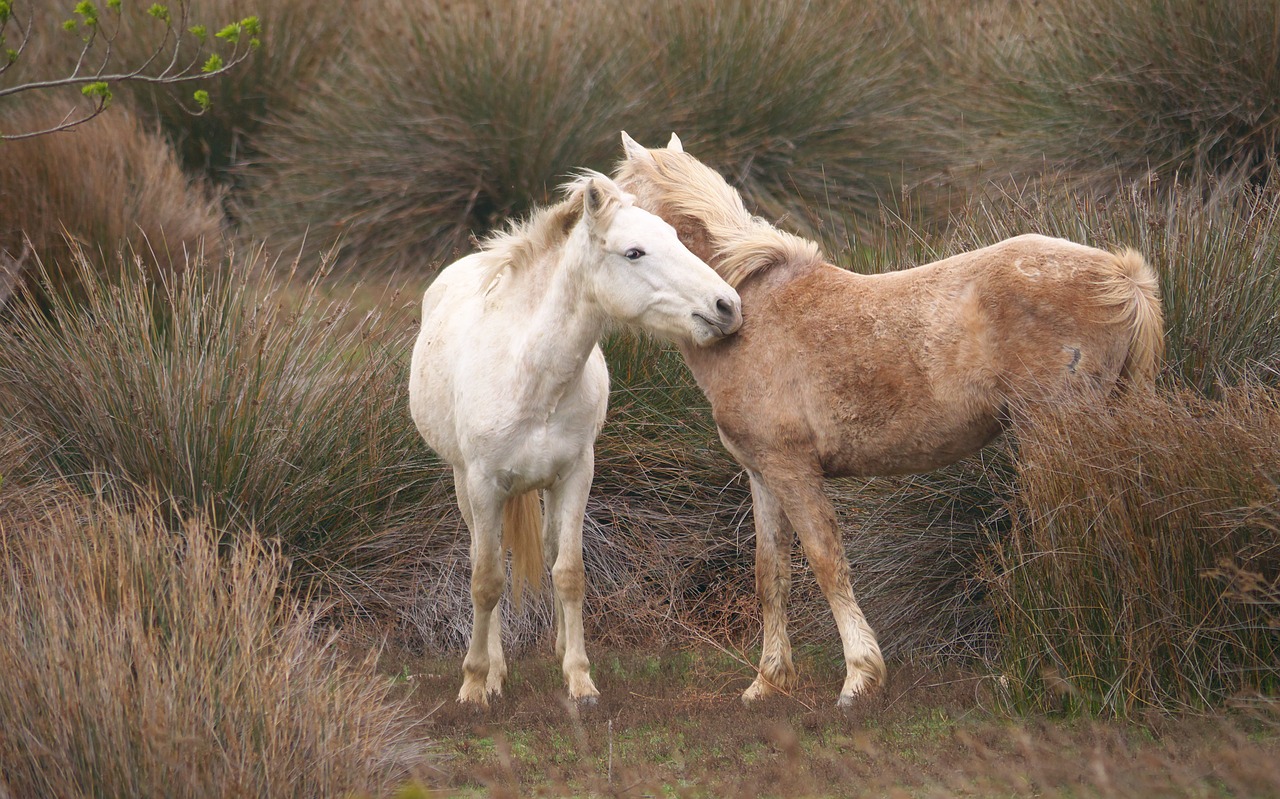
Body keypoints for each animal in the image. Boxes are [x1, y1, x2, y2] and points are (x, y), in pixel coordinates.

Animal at [412, 172, 742, 706]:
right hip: (466, 486)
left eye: (675, 238)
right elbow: (486, 581)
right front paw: (475, 682)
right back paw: (495, 670)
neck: (529, 374)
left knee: (548, 554)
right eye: (634, 252)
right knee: (485, 558)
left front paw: (579, 677)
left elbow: (569, 573)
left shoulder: (575, 476)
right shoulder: (484, 484)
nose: (727, 306)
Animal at [614, 134, 1167, 706]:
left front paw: (860, 677)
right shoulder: (763, 475)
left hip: (1056, 438)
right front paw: (767, 682)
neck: (752, 310)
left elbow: (827, 562)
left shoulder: (793, 470)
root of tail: (1122, 274)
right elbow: (772, 575)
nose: (723, 311)